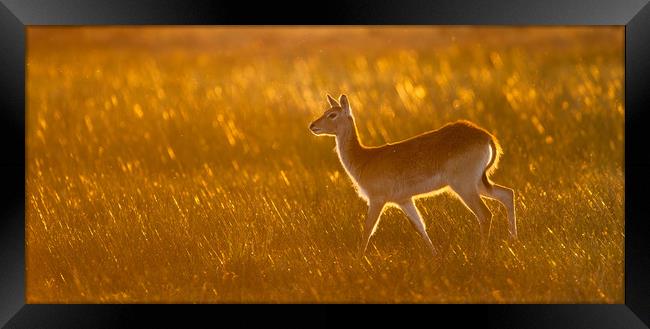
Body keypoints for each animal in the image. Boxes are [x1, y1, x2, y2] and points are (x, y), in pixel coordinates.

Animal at [308, 93, 516, 255]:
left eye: (332, 114)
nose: (312, 125)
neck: (364, 159)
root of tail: (487, 136)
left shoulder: (377, 199)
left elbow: (368, 229)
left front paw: (358, 260)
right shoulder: (405, 200)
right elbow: (421, 227)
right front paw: (436, 257)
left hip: (464, 186)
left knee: (485, 214)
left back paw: (482, 254)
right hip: (479, 183)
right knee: (508, 194)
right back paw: (513, 242)